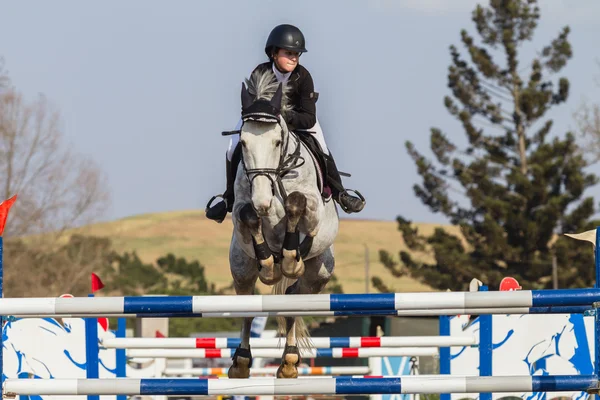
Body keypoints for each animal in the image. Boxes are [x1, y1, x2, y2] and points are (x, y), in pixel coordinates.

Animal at [225, 69, 340, 378]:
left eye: (277, 141)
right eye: (243, 143)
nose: (263, 200)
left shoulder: (312, 208)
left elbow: (296, 204)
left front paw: (289, 259)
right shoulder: (242, 208)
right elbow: (248, 215)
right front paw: (268, 263)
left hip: (319, 273)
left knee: (293, 299)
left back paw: (289, 360)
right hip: (241, 266)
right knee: (249, 307)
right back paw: (242, 361)